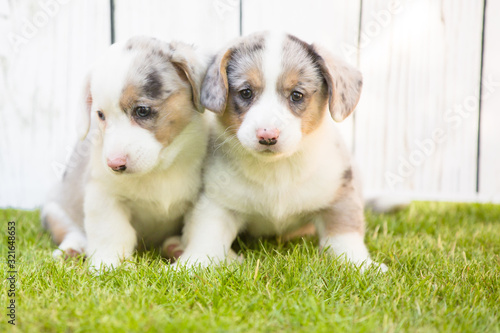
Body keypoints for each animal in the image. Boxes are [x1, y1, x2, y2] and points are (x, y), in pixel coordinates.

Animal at [40, 35, 209, 268]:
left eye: (142, 111)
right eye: (100, 115)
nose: (114, 164)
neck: (161, 168)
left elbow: (199, 231)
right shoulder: (104, 195)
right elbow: (111, 233)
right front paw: (108, 265)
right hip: (54, 211)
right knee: (72, 230)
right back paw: (72, 249)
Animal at [178, 31, 388, 272]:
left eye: (296, 95)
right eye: (246, 93)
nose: (267, 136)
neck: (277, 169)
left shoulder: (339, 195)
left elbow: (345, 238)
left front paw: (362, 265)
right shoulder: (216, 204)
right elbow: (206, 240)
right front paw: (188, 265)